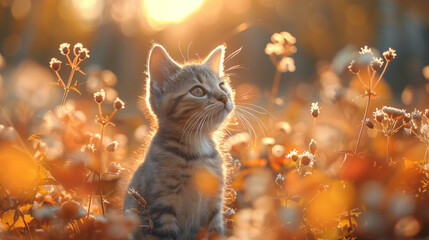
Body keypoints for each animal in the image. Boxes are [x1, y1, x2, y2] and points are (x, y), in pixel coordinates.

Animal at [123, 43, 234, 240]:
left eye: (222, 85)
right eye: (197, 91)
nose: (224, 97)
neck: (199, 148)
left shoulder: (214, 205)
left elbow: (216, 232)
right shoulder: (162, 206)